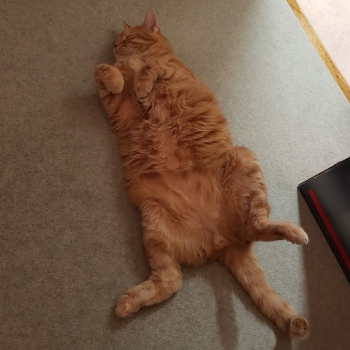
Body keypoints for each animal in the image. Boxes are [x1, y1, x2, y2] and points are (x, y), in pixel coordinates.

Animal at [95, 10, 308, 340]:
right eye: (116, 41)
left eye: (126, 38)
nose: (115, 46)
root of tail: (223, 240)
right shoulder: (117, 105)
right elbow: (105, 75)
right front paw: (115, 75)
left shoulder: (171, 70)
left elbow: (149, 69)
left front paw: (138, 80)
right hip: (154, 222)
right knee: (171, 281)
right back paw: (128, 303)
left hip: (244, 158)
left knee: (257, 227)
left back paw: (294, 232)